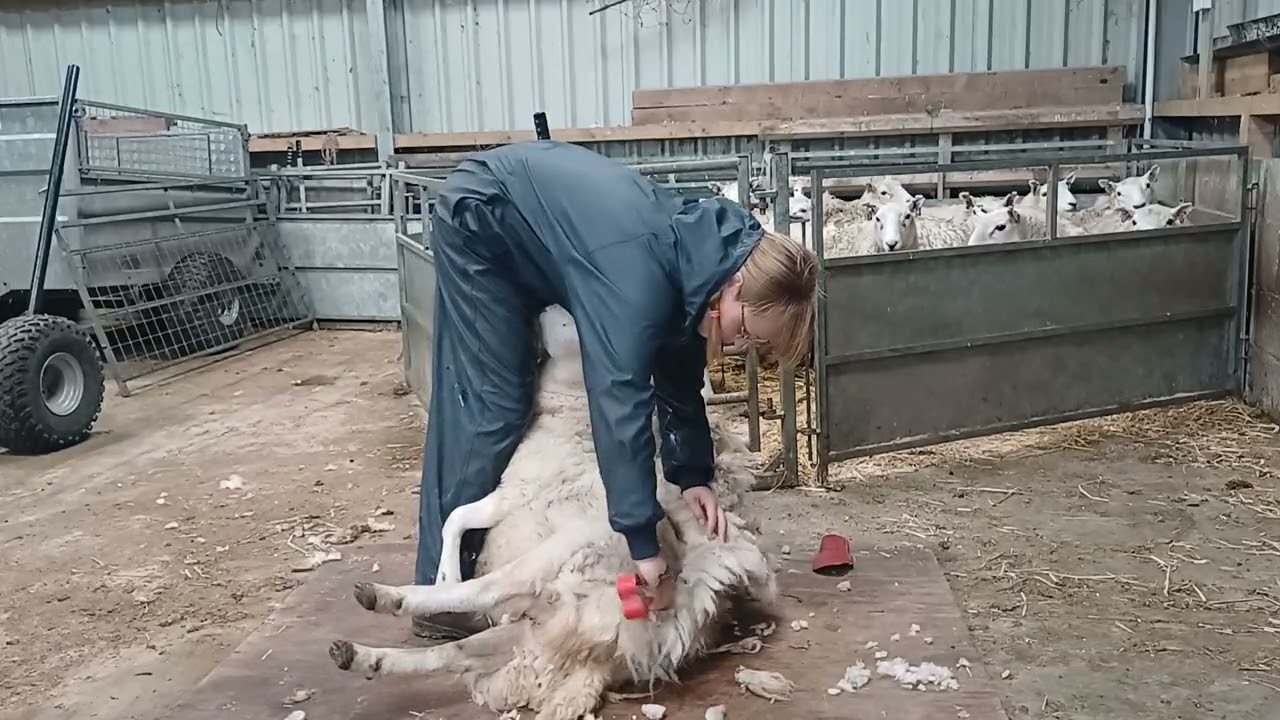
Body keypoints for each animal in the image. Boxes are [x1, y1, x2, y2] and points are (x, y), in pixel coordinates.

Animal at [329, 304, 775, 720]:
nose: (543, 307)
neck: (573, 411)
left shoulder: (517, 490)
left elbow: (456, 517)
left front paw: (446, 574)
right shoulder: (512, 493)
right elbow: (457, 519)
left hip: (557, 561)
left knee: (487, 589)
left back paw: (390, 597)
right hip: (531, 628)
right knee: (453, 654)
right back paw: (359, 655)